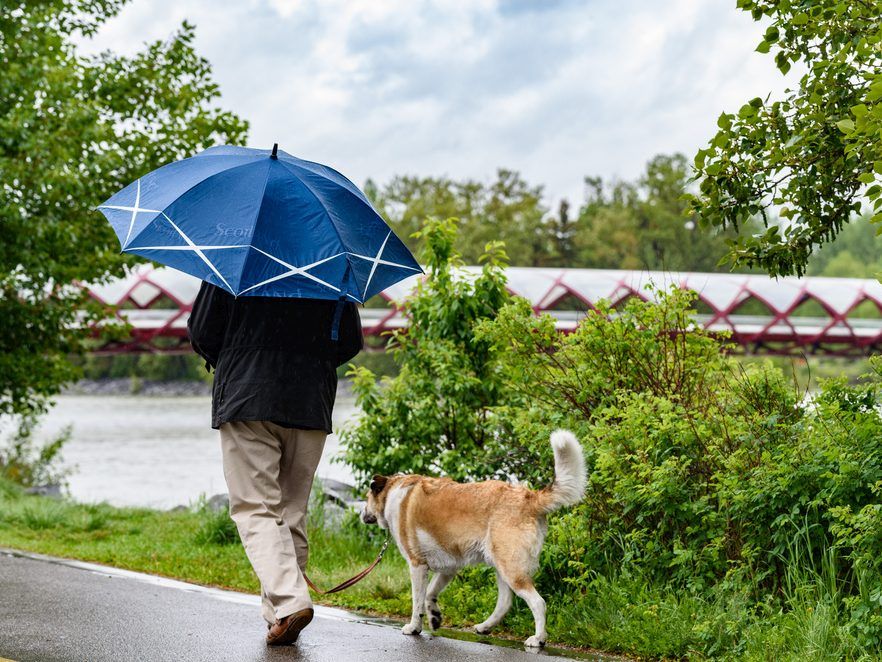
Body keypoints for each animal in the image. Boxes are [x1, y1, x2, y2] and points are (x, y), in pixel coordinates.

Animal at [358, 428, 584, 652]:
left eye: (366, 497)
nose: (361, 514)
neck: (392, 493)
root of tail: (530, 497)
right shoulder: (448, 568)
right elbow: (430, 594)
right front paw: (435, 616)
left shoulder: (417, 566)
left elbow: (417, 601)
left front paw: (414, 628)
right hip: (501, 566)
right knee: (505, 602)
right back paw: (485, 627)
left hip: (511, 569)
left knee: (538, 602)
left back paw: (538, 639)